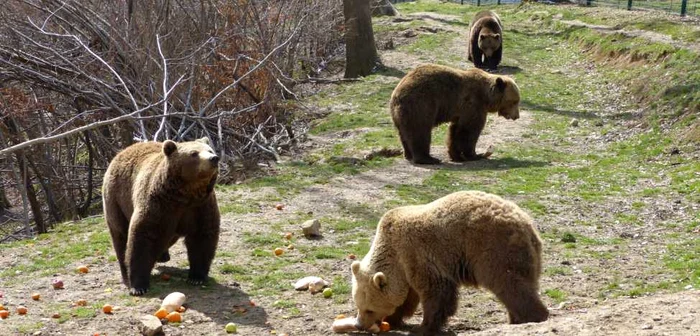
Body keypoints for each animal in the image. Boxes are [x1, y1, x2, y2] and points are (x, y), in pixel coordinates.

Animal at [101, 138, 220, 296]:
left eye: (209, 149)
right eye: (194, 153)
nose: (214, 158)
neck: (186, 195)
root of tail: (120, 153)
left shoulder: (200, 207)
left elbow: (202, 236)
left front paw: (197, 277)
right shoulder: (158, 205)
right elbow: (143, 237)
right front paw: (139, 286)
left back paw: (162, 255)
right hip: (116, 200)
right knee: (120, 236)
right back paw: (126, 272)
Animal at [350, 190, 548, 334]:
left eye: (369, 309)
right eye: (358, 305)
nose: (360, 324)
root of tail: (526, 224)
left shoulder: (418, 254)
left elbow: (436, 292)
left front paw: (424, 326)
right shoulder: (406, 270)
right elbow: (407, 298)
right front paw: (394, 319)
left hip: (493, 248)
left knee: (509, 283)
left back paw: (532, 317)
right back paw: (515, 320)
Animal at [388, 63, 520, 165]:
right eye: (515, 101)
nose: (517, 116)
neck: (486, 97)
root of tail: (396, 94)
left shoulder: (460, 111)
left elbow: (455, 131)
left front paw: (456, 155)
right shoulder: (473, 104)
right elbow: (469, 130)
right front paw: (474, 154)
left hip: (401, 114)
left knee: (404, 133)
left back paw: (408, 154)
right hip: (421, 104)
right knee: (420, 131)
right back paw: (429, 158)